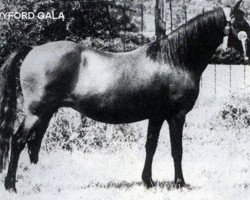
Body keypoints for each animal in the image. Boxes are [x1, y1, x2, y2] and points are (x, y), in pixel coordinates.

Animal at [0, 0, 249, 193]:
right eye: (241, 23)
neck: (174, 60)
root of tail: (33, 49)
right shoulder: (176, 115)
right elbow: (176, 149)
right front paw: (180, 183)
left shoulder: (156, 116)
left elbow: (151, 146)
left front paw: (148, 181)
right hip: (36, 111)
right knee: (19, 141)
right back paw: (11, 186)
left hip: (47, 112)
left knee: (33, 143)